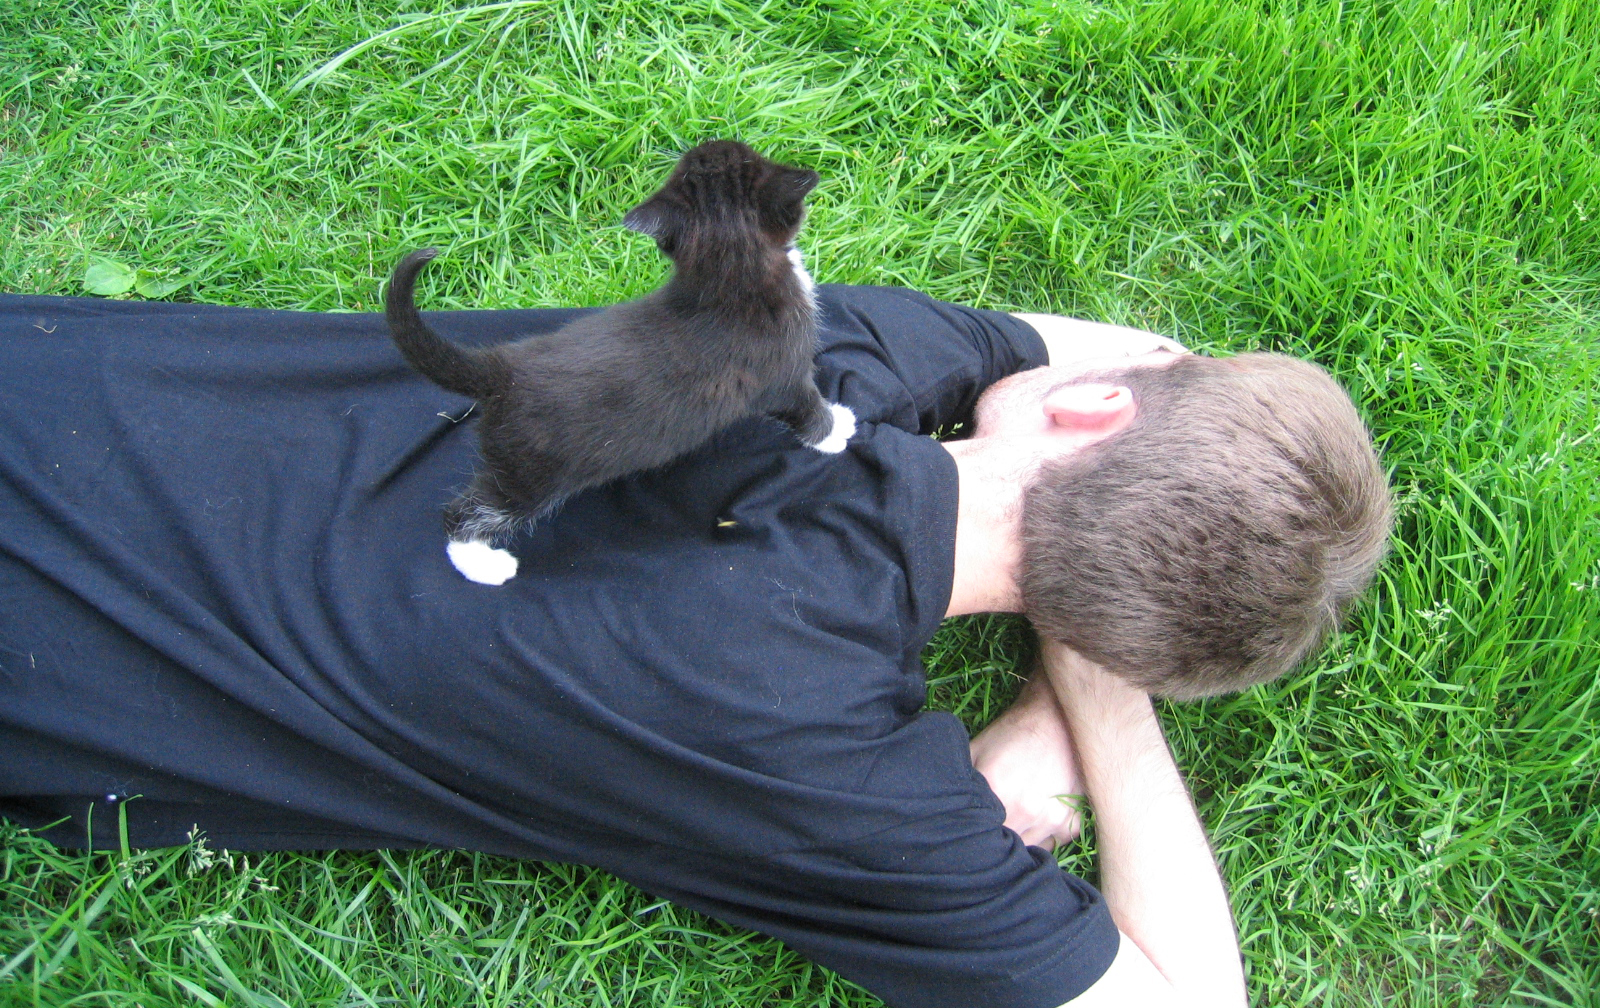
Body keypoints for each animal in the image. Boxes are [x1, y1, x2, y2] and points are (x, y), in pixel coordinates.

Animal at [384, 139, 855, 586]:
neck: (730, 277)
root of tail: (501, 370)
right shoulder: (783, 373)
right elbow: (806, 408)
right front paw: (836, 429)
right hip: (528, 472)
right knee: (467, 511)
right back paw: (483, 564)